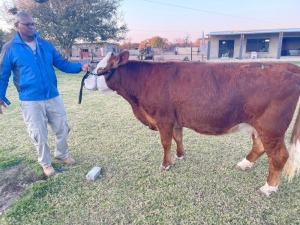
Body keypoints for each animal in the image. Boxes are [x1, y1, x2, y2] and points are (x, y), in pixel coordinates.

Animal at [84, 50, 300, 195]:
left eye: (100, 68)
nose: (85, 81)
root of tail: (288, 67)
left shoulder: (163, 118)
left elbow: (165, 142)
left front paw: (165, 164)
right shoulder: (176, 119)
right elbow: (178, 138)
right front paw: (180, 156)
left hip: (271, 128)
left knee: (279, 155)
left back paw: (269, 187)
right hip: (257, 126)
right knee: (260, 146)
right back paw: (244, 164)